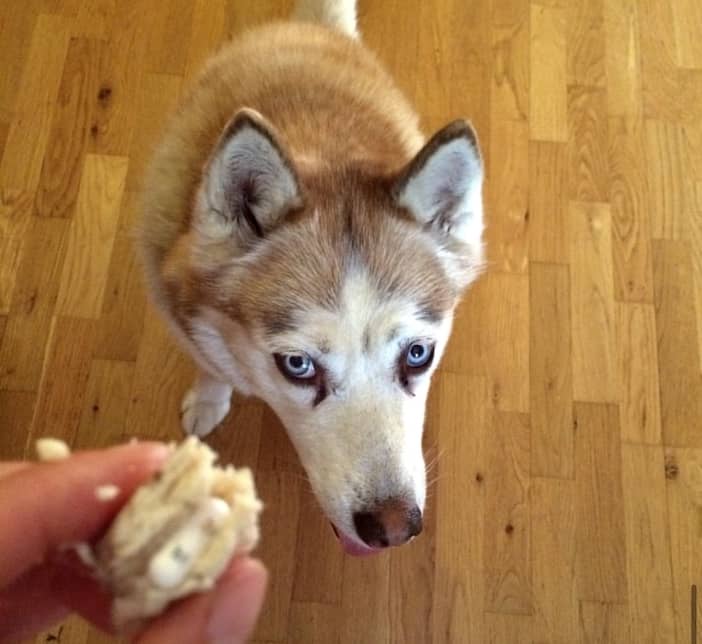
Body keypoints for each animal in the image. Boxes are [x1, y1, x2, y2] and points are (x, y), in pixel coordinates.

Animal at [140, 0, 486, 556]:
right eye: (298, 365)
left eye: (418, 353)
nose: (393, 528)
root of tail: (313, 31)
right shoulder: (178, 310)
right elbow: (209, 366)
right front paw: (208, 401)